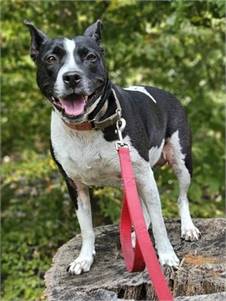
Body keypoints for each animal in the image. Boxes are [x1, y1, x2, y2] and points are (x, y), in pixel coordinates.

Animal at [25, 19, 200, 274]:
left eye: (90, 57)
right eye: (51, 58)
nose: (72, 77)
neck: (86, 128)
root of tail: (167, 93)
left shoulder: (144, 175)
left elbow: (160, 223)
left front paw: (167, 256)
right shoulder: (75, 185)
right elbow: (86, 228)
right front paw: (84, 259)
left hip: (181, 161)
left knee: (181, 197)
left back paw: (187, 228)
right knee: (143, 211)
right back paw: (137, 237)